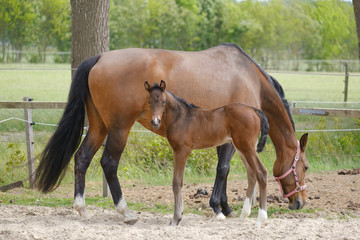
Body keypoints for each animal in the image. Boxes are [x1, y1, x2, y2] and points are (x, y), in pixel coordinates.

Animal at [145, 80, 268, 225]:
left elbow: (177, 183)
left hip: (247, 147)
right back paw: (244, 215)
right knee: (251, 174)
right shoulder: (178, 151)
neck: (181, 117)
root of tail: (253, 110)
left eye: (163, 102)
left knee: (261, 172)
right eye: (149, 101)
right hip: (242, 148)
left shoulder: (181, 151)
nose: (155, 122)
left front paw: (176, 219)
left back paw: (261, 219)